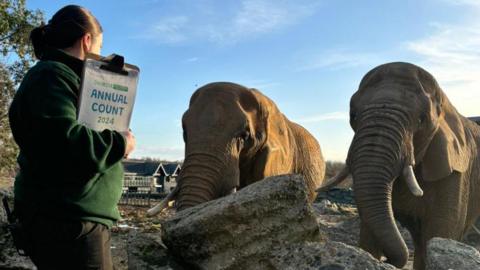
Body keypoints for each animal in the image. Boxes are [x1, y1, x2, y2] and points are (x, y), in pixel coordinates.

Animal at [318, 62, 480, 268]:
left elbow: (439, 233)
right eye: (353, 116)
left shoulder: (455, 171)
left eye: (421, 119)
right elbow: (369, 234)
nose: (388, 259)